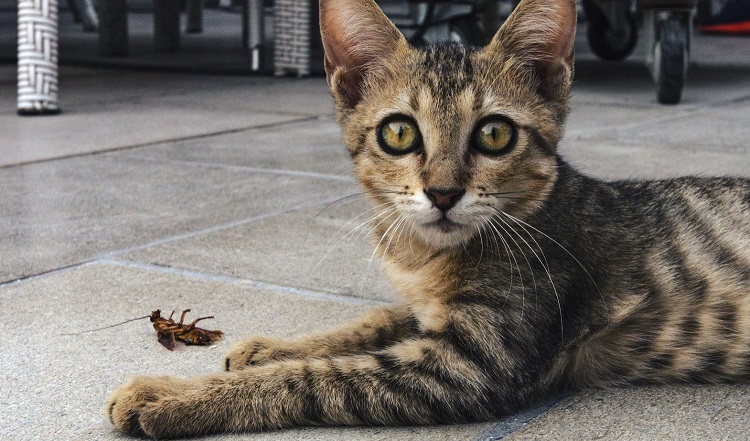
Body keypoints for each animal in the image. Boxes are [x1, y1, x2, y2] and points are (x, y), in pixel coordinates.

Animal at [106, 0, 750, 434]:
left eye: (494, 134)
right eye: (398, 133)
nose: (442, 193)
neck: (425, 257)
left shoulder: (472, 365)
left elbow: (322, 377)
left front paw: (173, 398)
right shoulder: (423, 312)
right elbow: (369, 322)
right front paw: (273, 346)